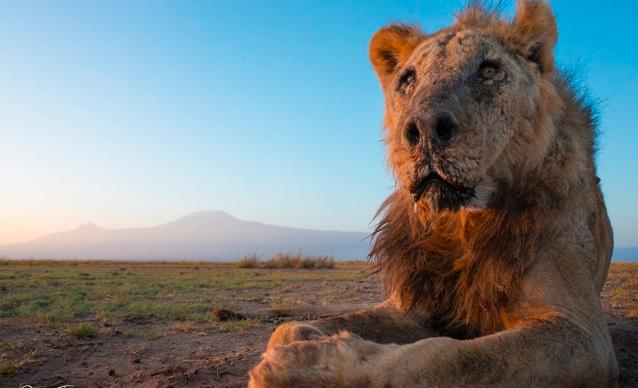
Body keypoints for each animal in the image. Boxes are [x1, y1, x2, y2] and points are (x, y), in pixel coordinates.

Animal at [248, 1, 616, 386]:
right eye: (408, 79)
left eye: (488, 70)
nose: (424, 128)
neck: (460, 222)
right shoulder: (414, 304)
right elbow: (287, 329)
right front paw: (304, 338)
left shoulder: (583, 333)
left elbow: (448, 359)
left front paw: (309, 367)